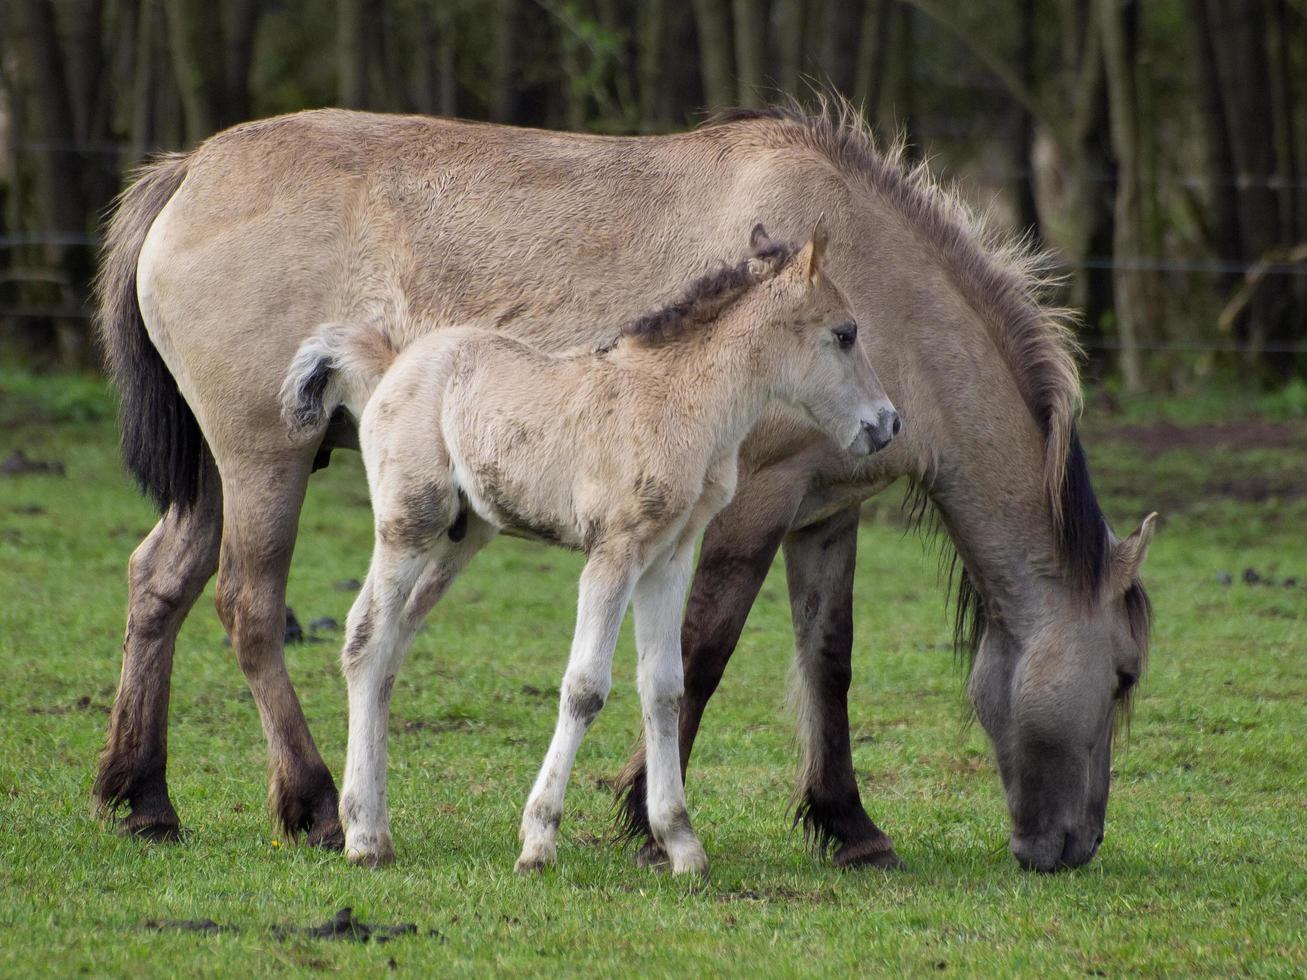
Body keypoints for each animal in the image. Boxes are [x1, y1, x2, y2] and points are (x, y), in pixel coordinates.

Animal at [283, 226, 899, 878]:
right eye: (845, 334)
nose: (887, 424)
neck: (679, 401)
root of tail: (392, 365)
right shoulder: (613, 554)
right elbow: (585, 688)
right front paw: (538, 841)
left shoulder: (669, 559)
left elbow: (665, 687)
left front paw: (681, 844)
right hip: (410, 524)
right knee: (366, 638)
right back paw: (363, 835)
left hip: (462, 537)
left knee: (392, 650)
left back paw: (376, 828)